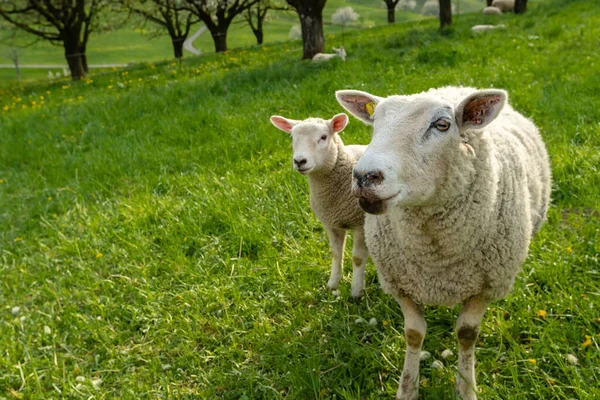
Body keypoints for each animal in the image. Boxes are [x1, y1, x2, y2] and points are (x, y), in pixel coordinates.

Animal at [270, 112, 368, 296]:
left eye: (323, 137)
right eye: (292, 137)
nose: (299, 161)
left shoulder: (361, 223)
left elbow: (358, 258)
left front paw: (356, 292)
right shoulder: (330, 222)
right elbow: (336, 253)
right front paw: (333, 284)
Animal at [336, 87, 552, 400]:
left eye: (442, 125)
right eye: (374, 123)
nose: (365, 176)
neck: (435, 254)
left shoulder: (486, 286)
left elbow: (467, 334)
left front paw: (466, 388)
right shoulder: (400, 282)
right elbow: (414, 334)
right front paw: (407, 389)